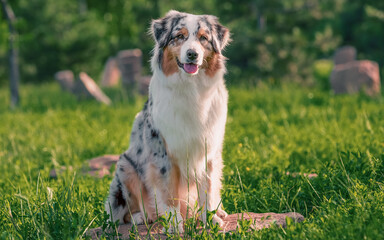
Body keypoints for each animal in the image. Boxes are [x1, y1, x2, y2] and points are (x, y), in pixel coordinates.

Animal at [105, 9, 230, 232]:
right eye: (179, 36)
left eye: (203, 38)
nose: (192, 54)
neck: (191, 90)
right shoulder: (162, 151)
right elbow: (168, 192)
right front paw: (174, 224)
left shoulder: (209, 149)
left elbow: (208, 187)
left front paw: (210, 218)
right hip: (125, 166)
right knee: (121, 214)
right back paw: (141, 216)